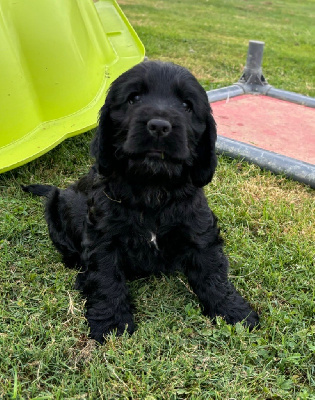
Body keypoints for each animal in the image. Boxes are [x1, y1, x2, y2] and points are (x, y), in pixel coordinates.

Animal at [22, 61, 260, 342]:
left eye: (186, 105)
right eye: (133, 98)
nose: (159, 126)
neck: (152, 188)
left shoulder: (199, 229)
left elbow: (213, 271)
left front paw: (234, 311)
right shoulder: (103, 237)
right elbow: (105, 278)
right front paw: (111, 323)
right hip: (57, 204)